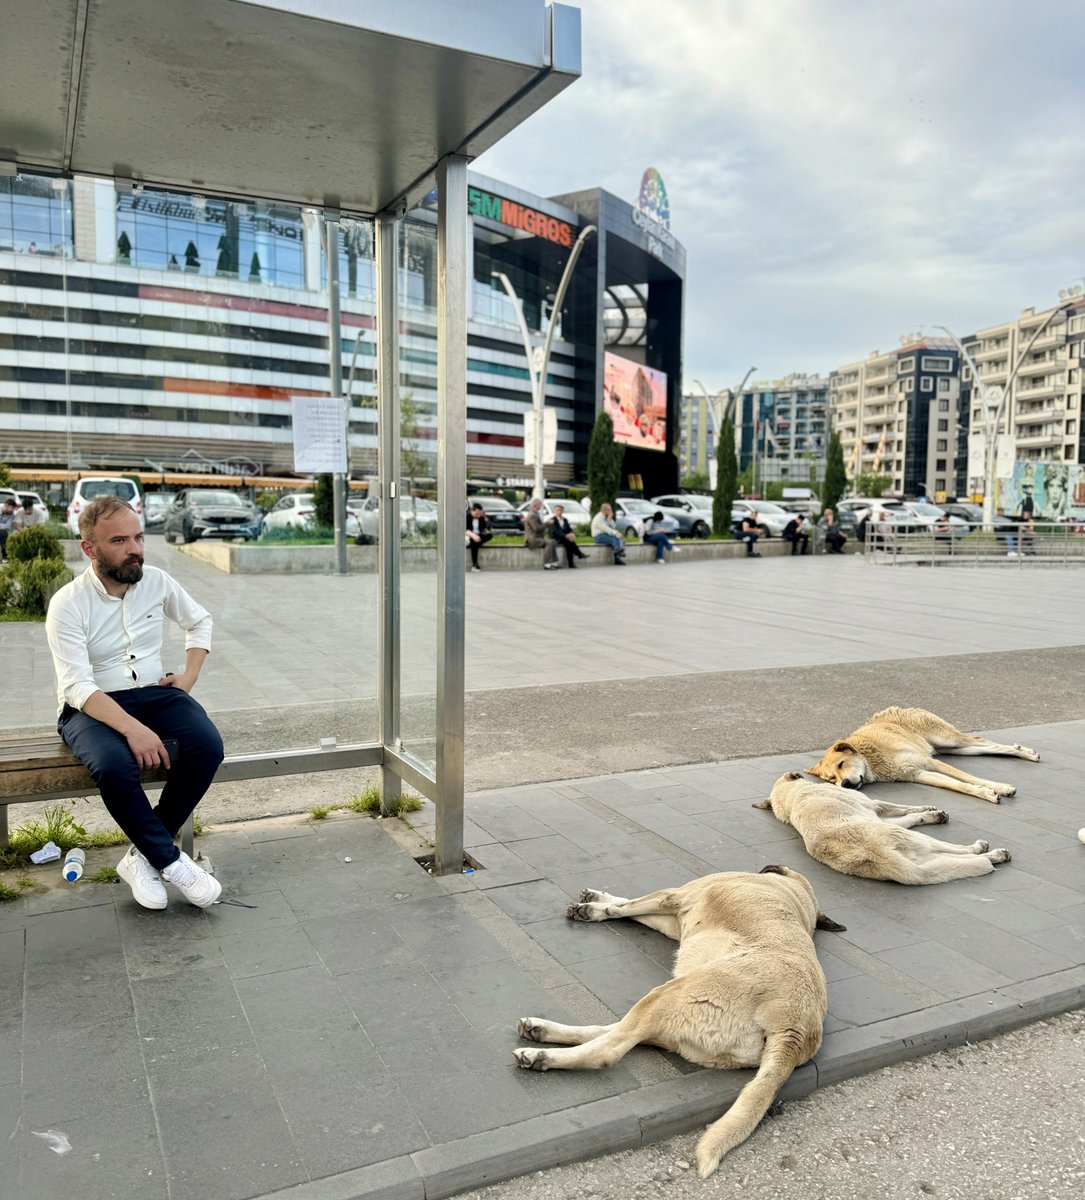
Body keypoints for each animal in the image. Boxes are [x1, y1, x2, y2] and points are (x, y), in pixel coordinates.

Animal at [513, 868, 844, 1176]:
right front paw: (598, 898)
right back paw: (540, 1031)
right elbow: (632, 906)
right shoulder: (671, 918)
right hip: (678, 1016)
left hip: (673, 994)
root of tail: (796, 1027)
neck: (797, 893)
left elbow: (628, 906)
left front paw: (595, 909)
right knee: (615, 1032)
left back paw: (541, 1057)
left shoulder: (674, 896)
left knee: (610, 1049)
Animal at [753, 772, 1008, 888]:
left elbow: (907, 815)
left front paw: (930, 811)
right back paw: (991, 852)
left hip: (921, 858)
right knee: (961, 852)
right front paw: (931, 811)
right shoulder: (875, 806)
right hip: (919, 840)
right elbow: (907, 810)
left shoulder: (880, 815)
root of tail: (879, 857)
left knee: (948, 862)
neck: (794, 798)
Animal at [806, 700, 1041, 806]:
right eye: (831, 780)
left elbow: (969, 778)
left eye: (841, 764)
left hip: (947, 739)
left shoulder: (929, 763)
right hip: (955, 749)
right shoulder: (920, 774)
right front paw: (985, 793)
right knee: (981, 746)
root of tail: (899, 707)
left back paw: (1026, 753)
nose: (844, 784)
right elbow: (959, 785)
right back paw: (1019, 750)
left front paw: (999, 787)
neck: (874, 757)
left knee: (981, 741)